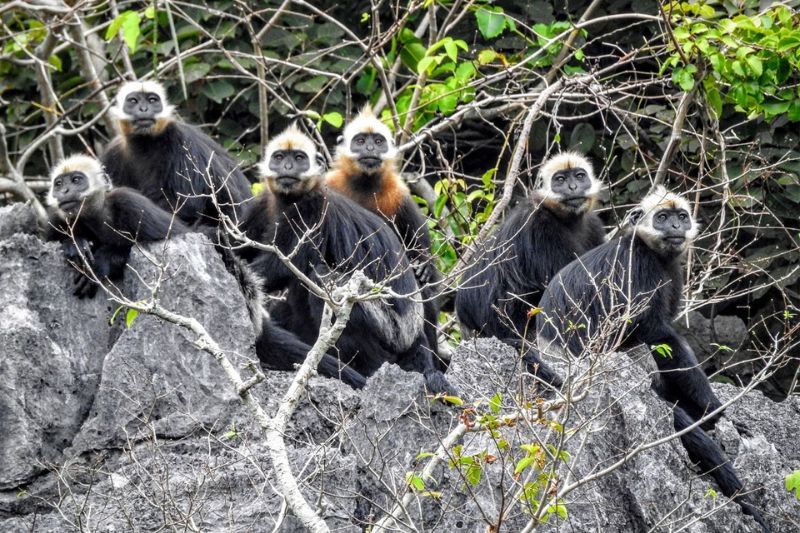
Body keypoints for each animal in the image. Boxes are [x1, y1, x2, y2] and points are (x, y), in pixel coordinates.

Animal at [328, 106, 446, 368]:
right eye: (361, 141)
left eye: (378, 141)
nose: (371, 149)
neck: (365, 184)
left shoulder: (400, 195)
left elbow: (425, 266)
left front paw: (423, 268)